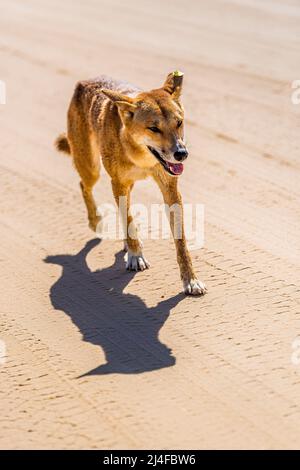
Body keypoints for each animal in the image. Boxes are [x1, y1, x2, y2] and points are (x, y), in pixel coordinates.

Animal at [55, 70, 206, 294]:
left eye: (179, 123)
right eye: (153, 128)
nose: (181, 154)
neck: (141, 156)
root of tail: (85, 81)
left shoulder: (170, 189)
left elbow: (181, 242)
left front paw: (191, 280)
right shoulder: (118, 183)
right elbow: (127, 218)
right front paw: (136, 256)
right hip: (91, 168)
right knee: (84, 186)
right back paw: (96, 221)